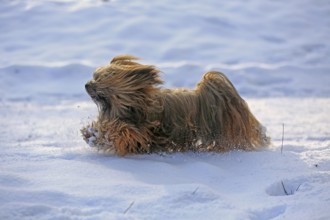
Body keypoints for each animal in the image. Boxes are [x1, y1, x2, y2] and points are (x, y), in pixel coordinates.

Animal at [81, 54, 270, 155]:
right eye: (95, 76)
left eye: (100, 79)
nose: (86, 85)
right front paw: (91, 133)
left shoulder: (140, 130)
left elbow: (121, 131)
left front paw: (97, 134)